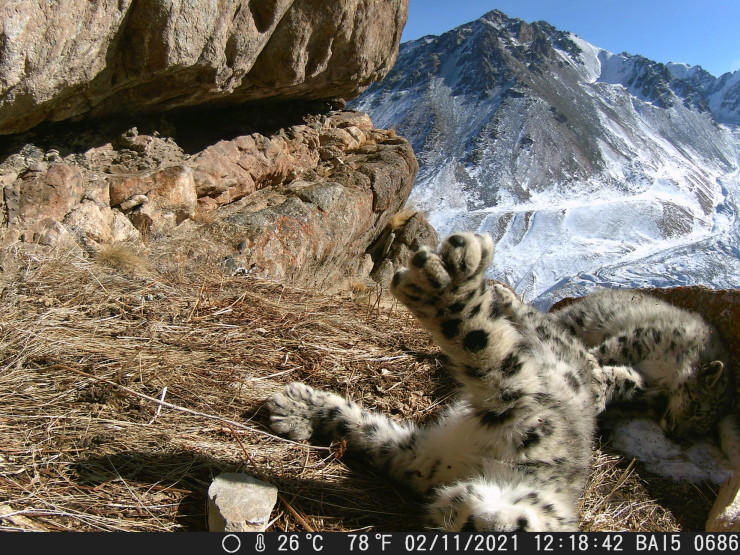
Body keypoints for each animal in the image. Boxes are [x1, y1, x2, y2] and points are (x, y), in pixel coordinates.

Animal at [267, 232, 645, 531]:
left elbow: (369, 433)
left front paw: (298, 409)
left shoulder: (419, 460)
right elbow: (483, 345)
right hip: (554, 343)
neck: (480, 463)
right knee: (542, 326)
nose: (479, 523)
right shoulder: (524, 403)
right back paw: (499, 290)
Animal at [551, 288, 739, 465]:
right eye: (696, 407)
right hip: (580, 318)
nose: (675, 433)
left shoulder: (646, 379)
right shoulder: (645, 338)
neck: (667, 376)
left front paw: (599, 384)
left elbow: (625, 379)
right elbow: (614, 351)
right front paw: (591, 360)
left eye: (700, 429)